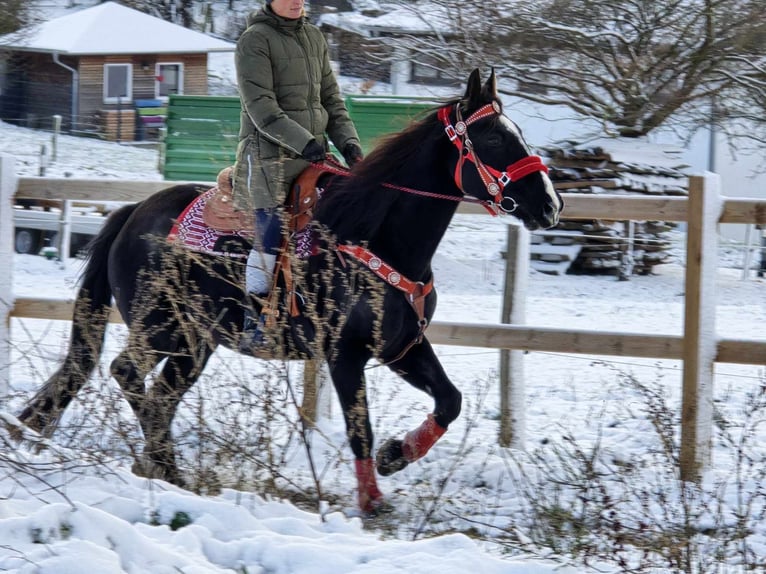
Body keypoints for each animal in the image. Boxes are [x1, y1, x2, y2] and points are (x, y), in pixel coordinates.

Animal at [15, 70, 560, 516]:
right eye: (495, 137)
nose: (551, 204)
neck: (374, 234)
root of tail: (131, 215)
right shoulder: (345, 355)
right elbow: (359, 429)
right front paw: (371, 501)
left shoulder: (402, 347)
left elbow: (450, 400)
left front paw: (396, 455)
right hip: (162, 329)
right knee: (127, 373)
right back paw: (161, 462)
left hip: (195, 343)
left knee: (161, 396)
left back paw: (164, 468)